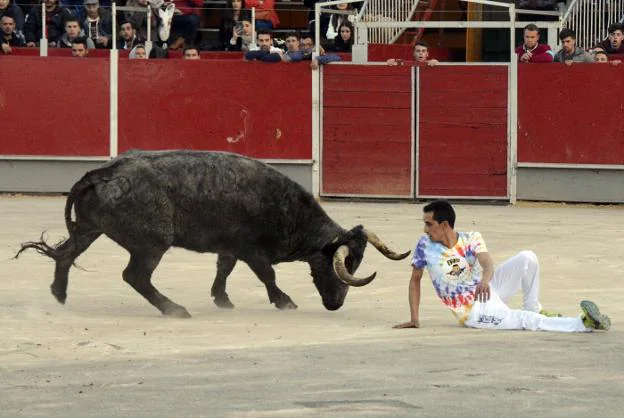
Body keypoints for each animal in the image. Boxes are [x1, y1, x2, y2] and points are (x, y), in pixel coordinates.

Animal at [15, 150, 410, 316]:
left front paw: (222, 299)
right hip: (151, 244)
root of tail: (103, 173)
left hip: (90, 228)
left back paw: (59, 296)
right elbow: (267, 275)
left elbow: (223, 269)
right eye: (342, 264)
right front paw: (284, 301)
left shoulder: (229, 247)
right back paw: (174, 309)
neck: (288, 210)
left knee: (66, 254)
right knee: (135, 276)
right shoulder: (251, 248)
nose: (336, 304)